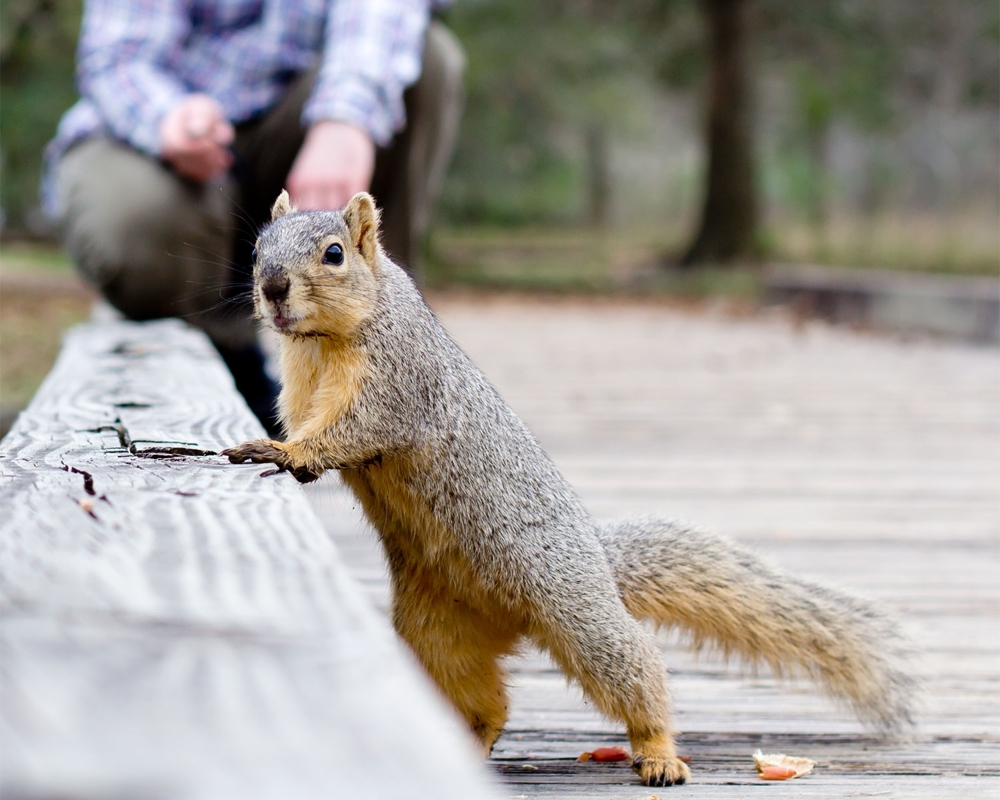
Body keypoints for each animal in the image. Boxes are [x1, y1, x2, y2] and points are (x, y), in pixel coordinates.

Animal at [223, 192, 916, 788]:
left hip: (575, 612)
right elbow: (306, 421)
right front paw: (272, 441)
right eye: (258, 247)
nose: (273, 289)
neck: (323, 343)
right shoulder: (301, 387)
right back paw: (467, 749)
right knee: (486, 703)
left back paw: (659, 752)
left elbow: (358, 428)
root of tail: (596, 566)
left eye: (334, 253)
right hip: (438, 630)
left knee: (634, 670)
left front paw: (288, 453)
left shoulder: (398, 379)